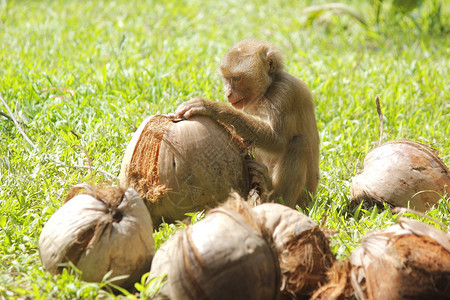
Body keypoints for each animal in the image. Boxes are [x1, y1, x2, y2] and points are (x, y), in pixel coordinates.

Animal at [176, 38, 320, 209]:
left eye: (237, 78)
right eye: (226, 79)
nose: (228, 94)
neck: (268, 89)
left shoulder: (284, 93)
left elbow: (277, 141)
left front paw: (212, 107)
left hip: (304, 198)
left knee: (299, 142)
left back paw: (272, 195)